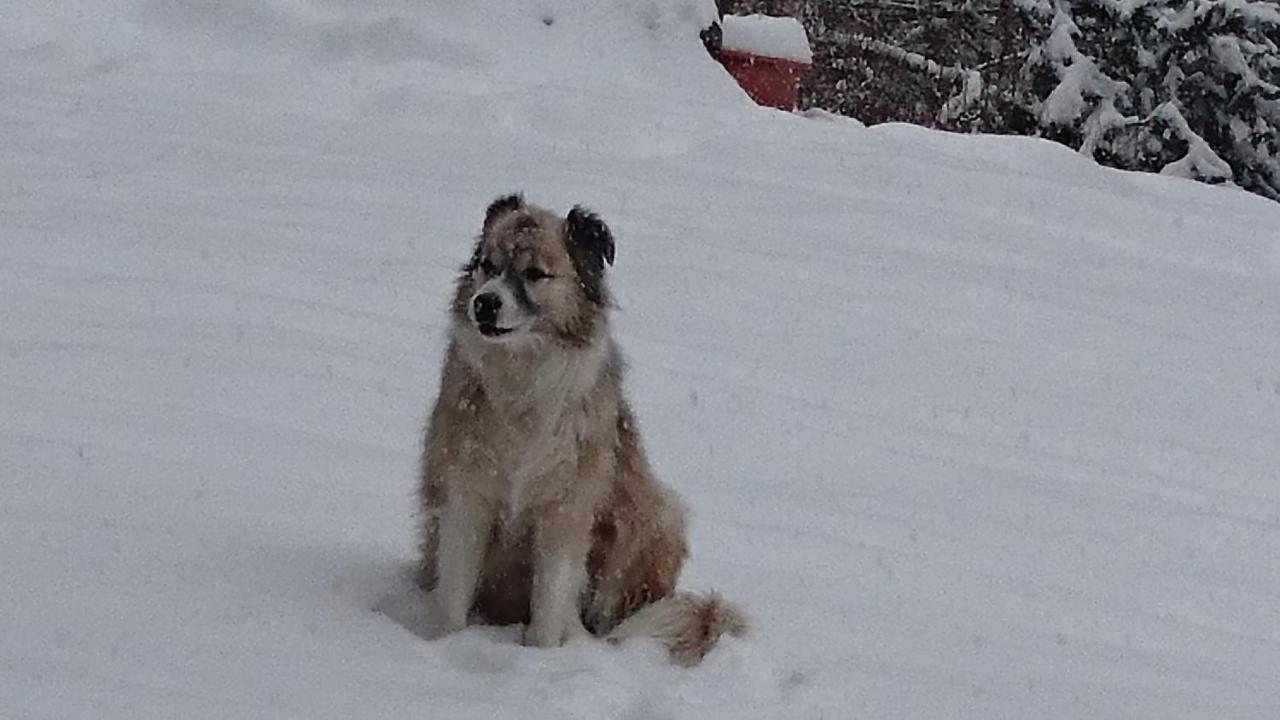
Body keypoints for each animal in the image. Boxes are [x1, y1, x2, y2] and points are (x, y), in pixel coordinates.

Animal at [414, 194, 747, 661]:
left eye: (535, 273)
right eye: (486, 265)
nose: (483, 303)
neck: (521, 385)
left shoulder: (565, 508)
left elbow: (551, 599)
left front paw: (539, 656)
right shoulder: (466, 495)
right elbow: (454, 596)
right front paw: (441, 646)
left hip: (656, 517)